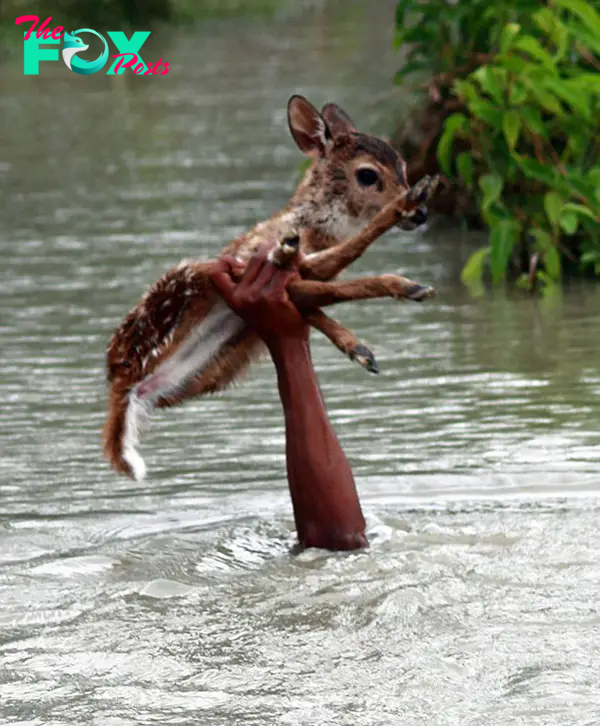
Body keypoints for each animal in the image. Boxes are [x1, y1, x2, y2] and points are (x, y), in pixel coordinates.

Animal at [103, 96, 438, 484]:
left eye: (402, 165)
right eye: (368, 174)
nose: (421, 213)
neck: (312, 228)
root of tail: (122, 385)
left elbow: (321, 294)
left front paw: (360, 347)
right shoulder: (253, 262)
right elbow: (331, 277)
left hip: (216, 365)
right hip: (185, 282)